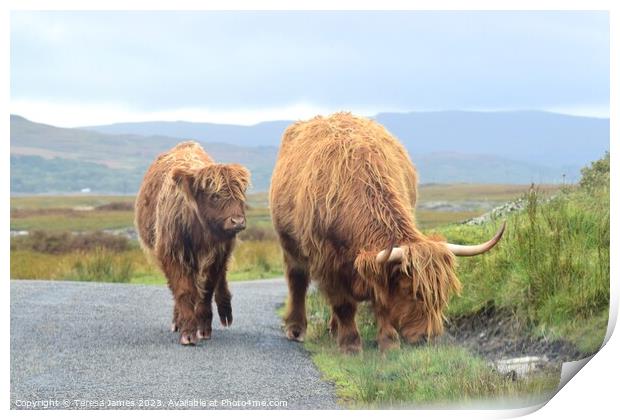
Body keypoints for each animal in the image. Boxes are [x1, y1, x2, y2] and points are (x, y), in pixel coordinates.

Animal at [137, 141, 251, 344]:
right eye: (215, 196)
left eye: (241, 196)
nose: (237, 221)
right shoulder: (172, 253)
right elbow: (183, 290)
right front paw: (188, 332)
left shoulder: (217, 254)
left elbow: (207, 289)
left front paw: (203, 327)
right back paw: (178, 321)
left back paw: (225, 312)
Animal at [270, 113, 504, 352]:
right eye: (412, 291)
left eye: (442, 294)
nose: (428, 338)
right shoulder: (328, 263)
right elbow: (343, 304)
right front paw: (350, 346)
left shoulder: (375, 266)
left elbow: (381, 301)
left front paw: (389, 344)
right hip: (290, 247)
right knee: (297, 282)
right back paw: (296, 329)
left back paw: (334, 329)